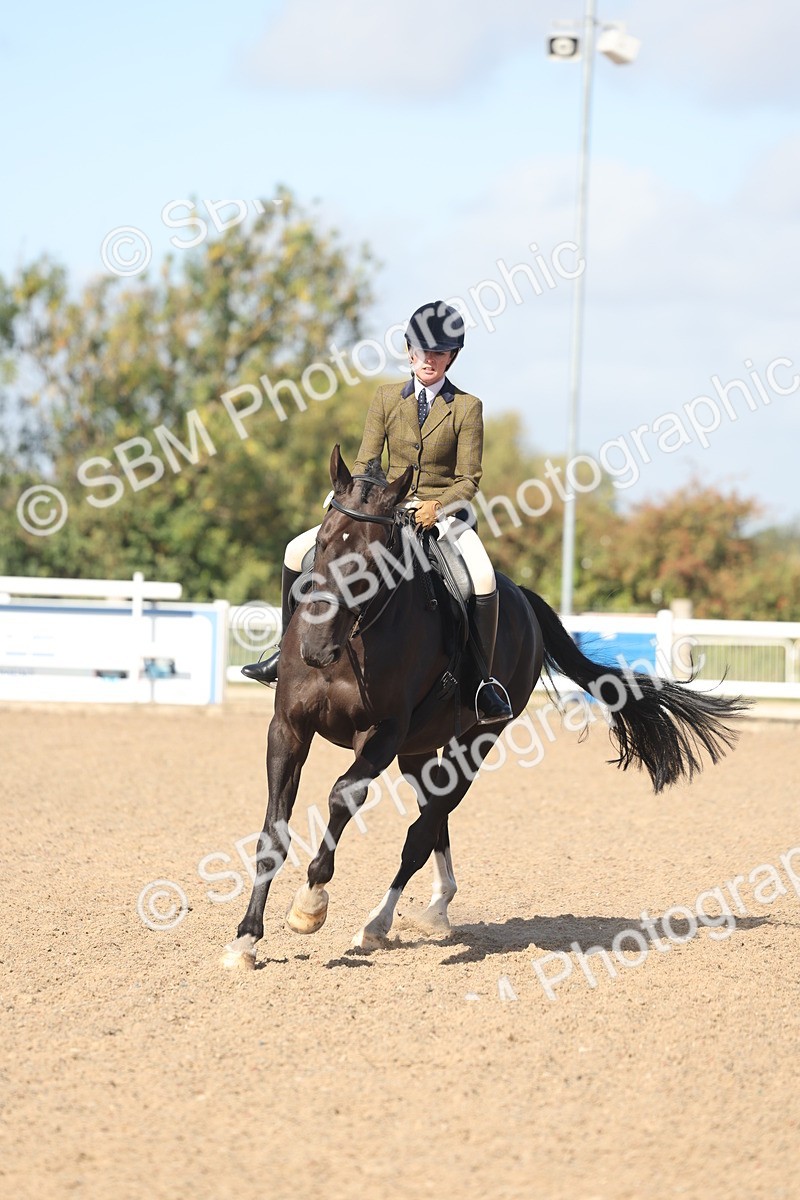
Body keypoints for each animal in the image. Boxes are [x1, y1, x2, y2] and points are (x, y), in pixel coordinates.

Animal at [222, 446, 747, 969]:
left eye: (374, 559)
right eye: (323, 543)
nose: (314, 648)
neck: (353, 643)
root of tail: (525, 600)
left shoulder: (383, 734)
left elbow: (342, 796)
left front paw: (309, 905)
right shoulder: (288, 728)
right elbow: (273, 833)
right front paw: (246, 938)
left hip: (474, 741)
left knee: (422, 831)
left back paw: (380, 924)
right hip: (420, 748)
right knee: (433, 816)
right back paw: (436, 906)